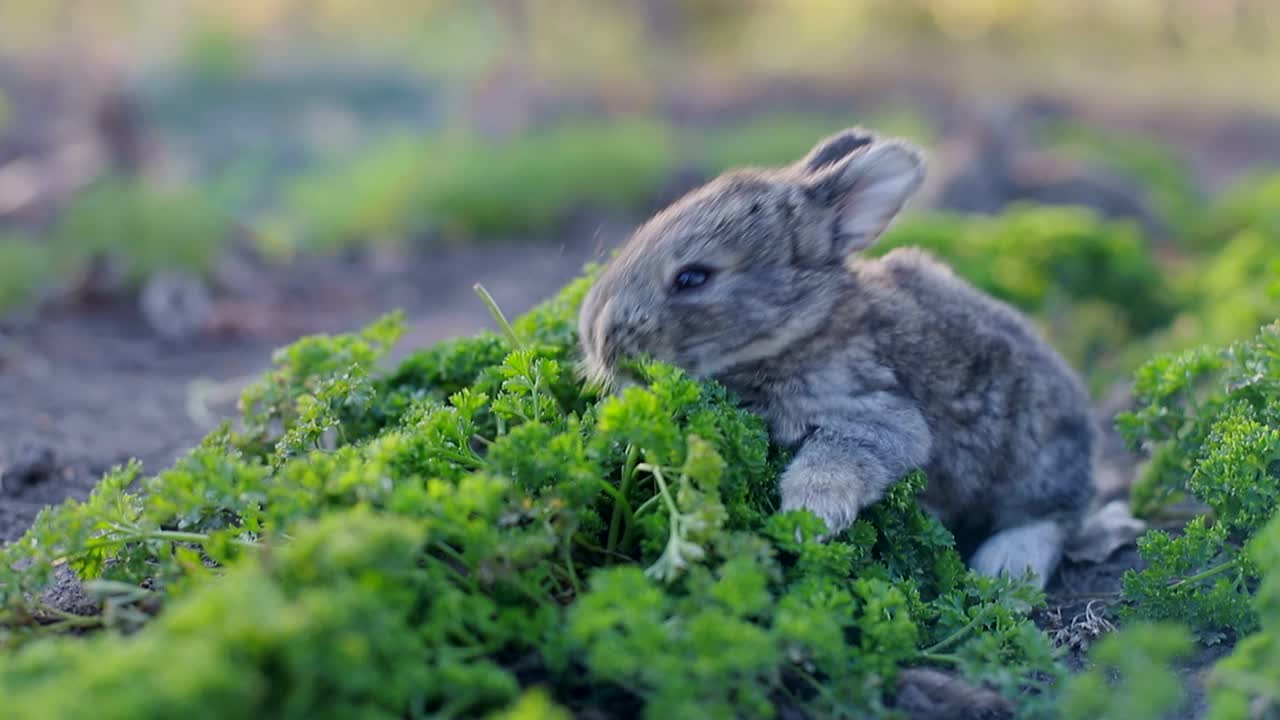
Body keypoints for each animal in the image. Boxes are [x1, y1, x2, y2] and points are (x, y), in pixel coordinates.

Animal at [576, 126, 1095, 586]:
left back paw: (1007, 567)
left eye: (692, 278)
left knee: (1054, 518)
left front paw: (808, 518)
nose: (599, 341)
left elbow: (839, 455)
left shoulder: (873, 411)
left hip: (1037, 461)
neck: (805, 330)